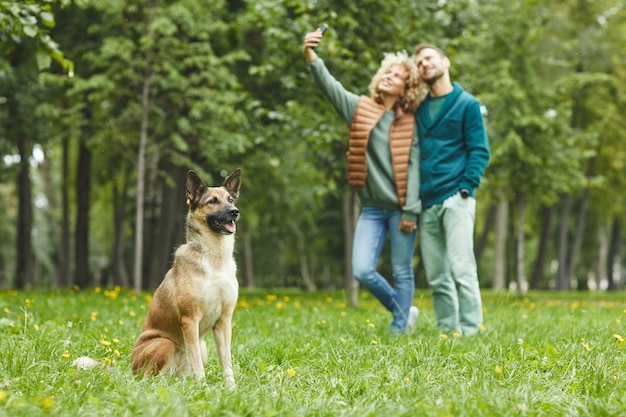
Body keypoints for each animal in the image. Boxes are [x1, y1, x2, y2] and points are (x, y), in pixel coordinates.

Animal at [129, 167, 239, 386]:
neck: (215, 260)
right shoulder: (190, 320)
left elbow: (226, 361)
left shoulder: (224, 321)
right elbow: (196, 362)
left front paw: (231, 388)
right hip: (164, 343)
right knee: (146, 379)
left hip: (203, 347)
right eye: (212, 201)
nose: (235, 211)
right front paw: (203, 388)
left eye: (231, 199)